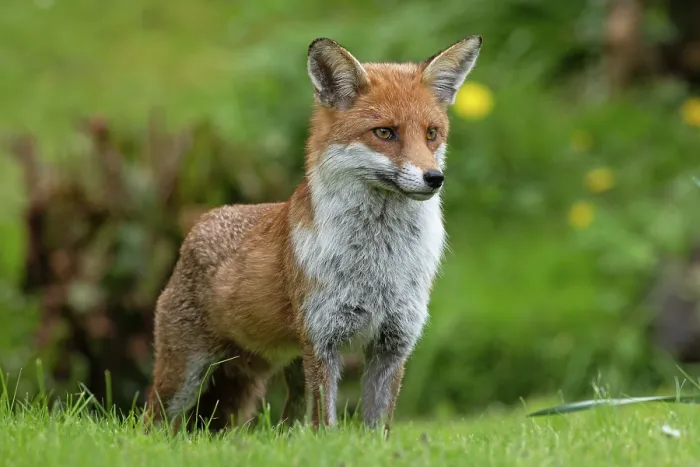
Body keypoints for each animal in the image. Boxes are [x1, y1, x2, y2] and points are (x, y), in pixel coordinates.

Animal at [144, 34, 483, 433]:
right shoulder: (324, 341)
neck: (380, 261)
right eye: (385, 132)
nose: (434, 178)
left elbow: (377, 428)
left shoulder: (393, 343)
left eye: (432, 134)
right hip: (182, 376)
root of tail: (202, 222)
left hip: (281, 371)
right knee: (149, 420)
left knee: (284, 424)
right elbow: (325, 424)